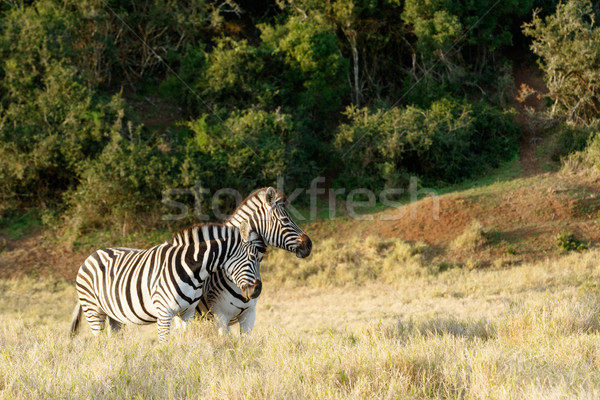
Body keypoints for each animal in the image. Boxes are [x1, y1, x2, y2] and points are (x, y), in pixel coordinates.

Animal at [71, 220, 264, 342]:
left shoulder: (187, 313)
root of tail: (91, 255)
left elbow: (184, 341)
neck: (193, 270)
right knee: (99, 341)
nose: (257, 291)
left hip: (113, 314)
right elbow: (164, 343)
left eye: (259, 258)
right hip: (93, 310)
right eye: (252, 258)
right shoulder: (164, 312)